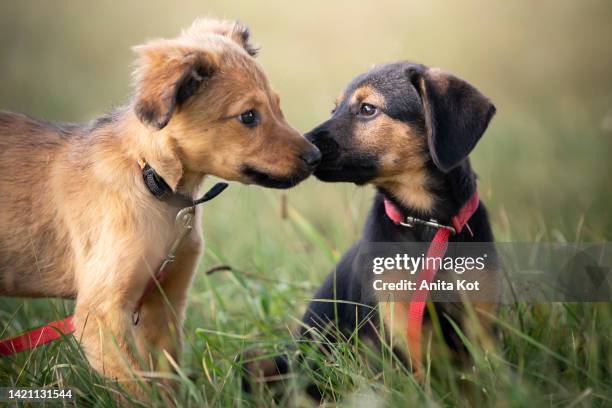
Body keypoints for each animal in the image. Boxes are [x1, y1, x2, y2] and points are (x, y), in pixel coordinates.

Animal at [241, 62, 500, 396]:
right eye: (334, 108)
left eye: (367, 109)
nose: (306, 149)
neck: (426, 223)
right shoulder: (396, 326)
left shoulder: (480, 320)